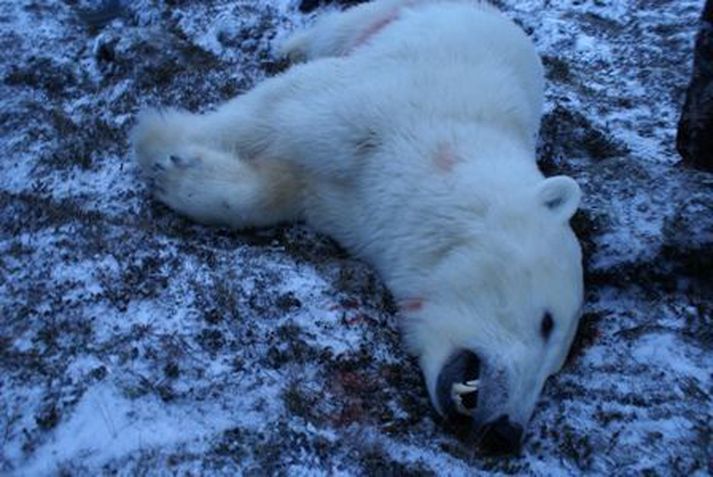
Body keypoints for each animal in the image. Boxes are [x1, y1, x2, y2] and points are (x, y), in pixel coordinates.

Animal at [131, 0, 580, 454]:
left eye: (557, 368)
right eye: (547, 323)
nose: (506, 433)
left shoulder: (349, 208)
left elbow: (281, 188)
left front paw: (183, 175)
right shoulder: (380, 111)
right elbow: (276, 108)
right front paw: (160, 138)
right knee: (330, 34)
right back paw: (290, 46)